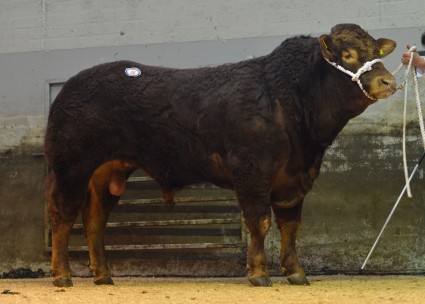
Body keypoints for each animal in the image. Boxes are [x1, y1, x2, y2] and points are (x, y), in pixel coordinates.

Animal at [44, 24, 396, 288]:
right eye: (348, 54)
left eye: (376, 52)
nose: (389, 81)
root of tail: (69, 88)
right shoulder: (252, 171)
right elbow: (260, 222)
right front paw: (259, 273)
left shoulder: (294, 180)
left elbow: (290, 226)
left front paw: (295, 271)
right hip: (71, 166)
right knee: (63, 214)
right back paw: (62, 276)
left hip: (106, 172)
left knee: (95, 220)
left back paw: (103, 275)